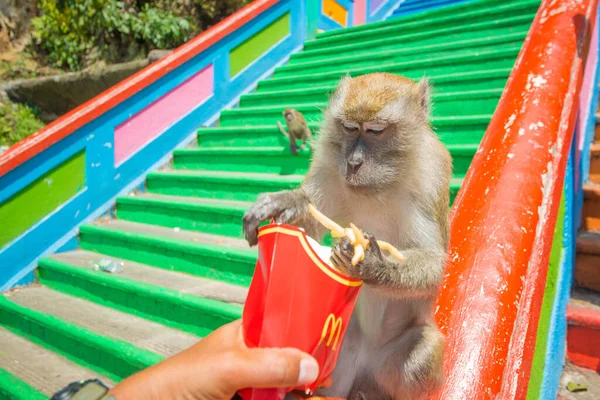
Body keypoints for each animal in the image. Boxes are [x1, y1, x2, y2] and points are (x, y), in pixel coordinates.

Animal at [244, 73, 450, 398]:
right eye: (350, 128)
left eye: (376, 131)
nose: (353, 162)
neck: (379, 186)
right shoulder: (330, 162)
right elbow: (313, 222)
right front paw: (287, 201)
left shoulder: (432, 173)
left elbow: (433, 262)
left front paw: (373, 265)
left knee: (423, 354)